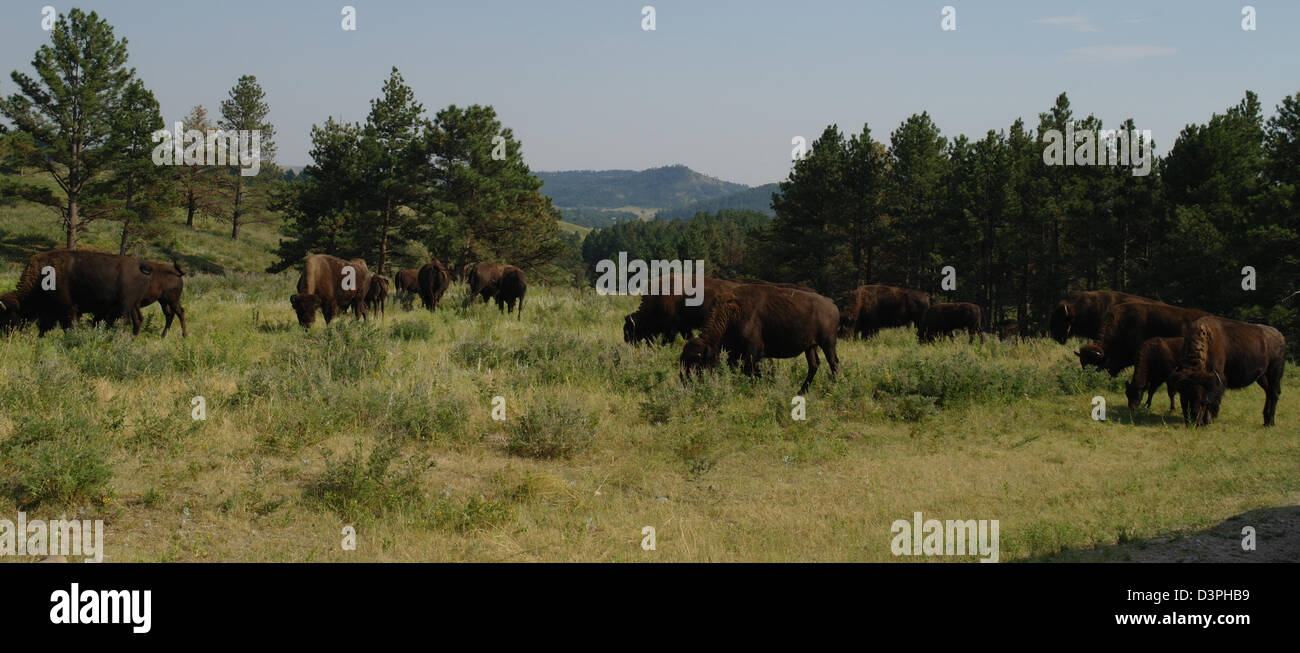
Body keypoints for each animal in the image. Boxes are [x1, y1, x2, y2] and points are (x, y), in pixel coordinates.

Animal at [0, 247, 155, 333]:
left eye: (6, 317)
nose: (6, 335)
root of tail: (140, 267)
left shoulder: (68, 310)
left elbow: (68, 327)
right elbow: (44, 328)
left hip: (124, 306)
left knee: (123, 321)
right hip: (134, 305)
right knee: (138, 320)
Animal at [681, 282, 842, 392]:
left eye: (697, 363)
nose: (686, 382)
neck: (731, 312)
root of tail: (831, 304)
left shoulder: (753, 351)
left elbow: (751, 371)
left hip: (828, 343)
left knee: (833, 363)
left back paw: (834, 387)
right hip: (810, 346)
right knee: (814, 365)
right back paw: (801, 392)